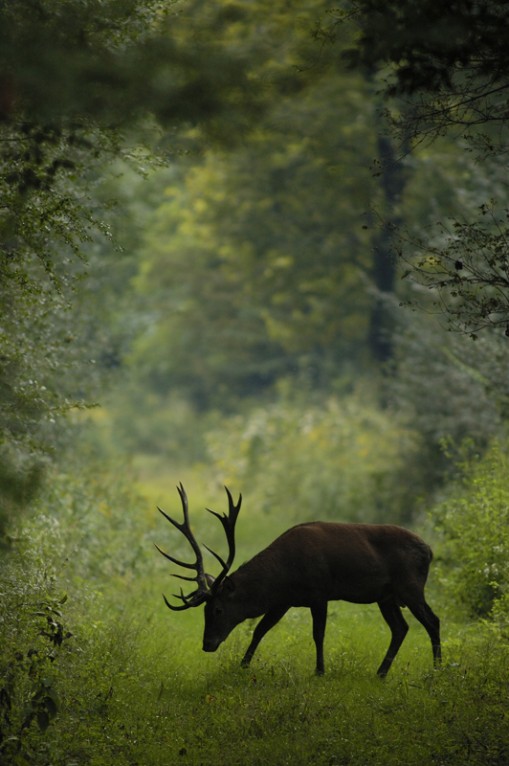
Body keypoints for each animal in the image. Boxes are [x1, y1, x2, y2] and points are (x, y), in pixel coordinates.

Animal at [156, 486, 440, 680]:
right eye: (204, 610)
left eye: (217, 609)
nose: (207, 644)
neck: (283, 576)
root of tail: (429, 550)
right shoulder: (283, 601)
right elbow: (260, 629)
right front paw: (243, 665)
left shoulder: (319, 592)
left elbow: (318, 633)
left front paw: (319, 671)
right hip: (386, 596)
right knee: (401, 628)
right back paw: (380, 673)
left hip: (411, 585)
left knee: (432, 620)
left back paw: (437, 670)